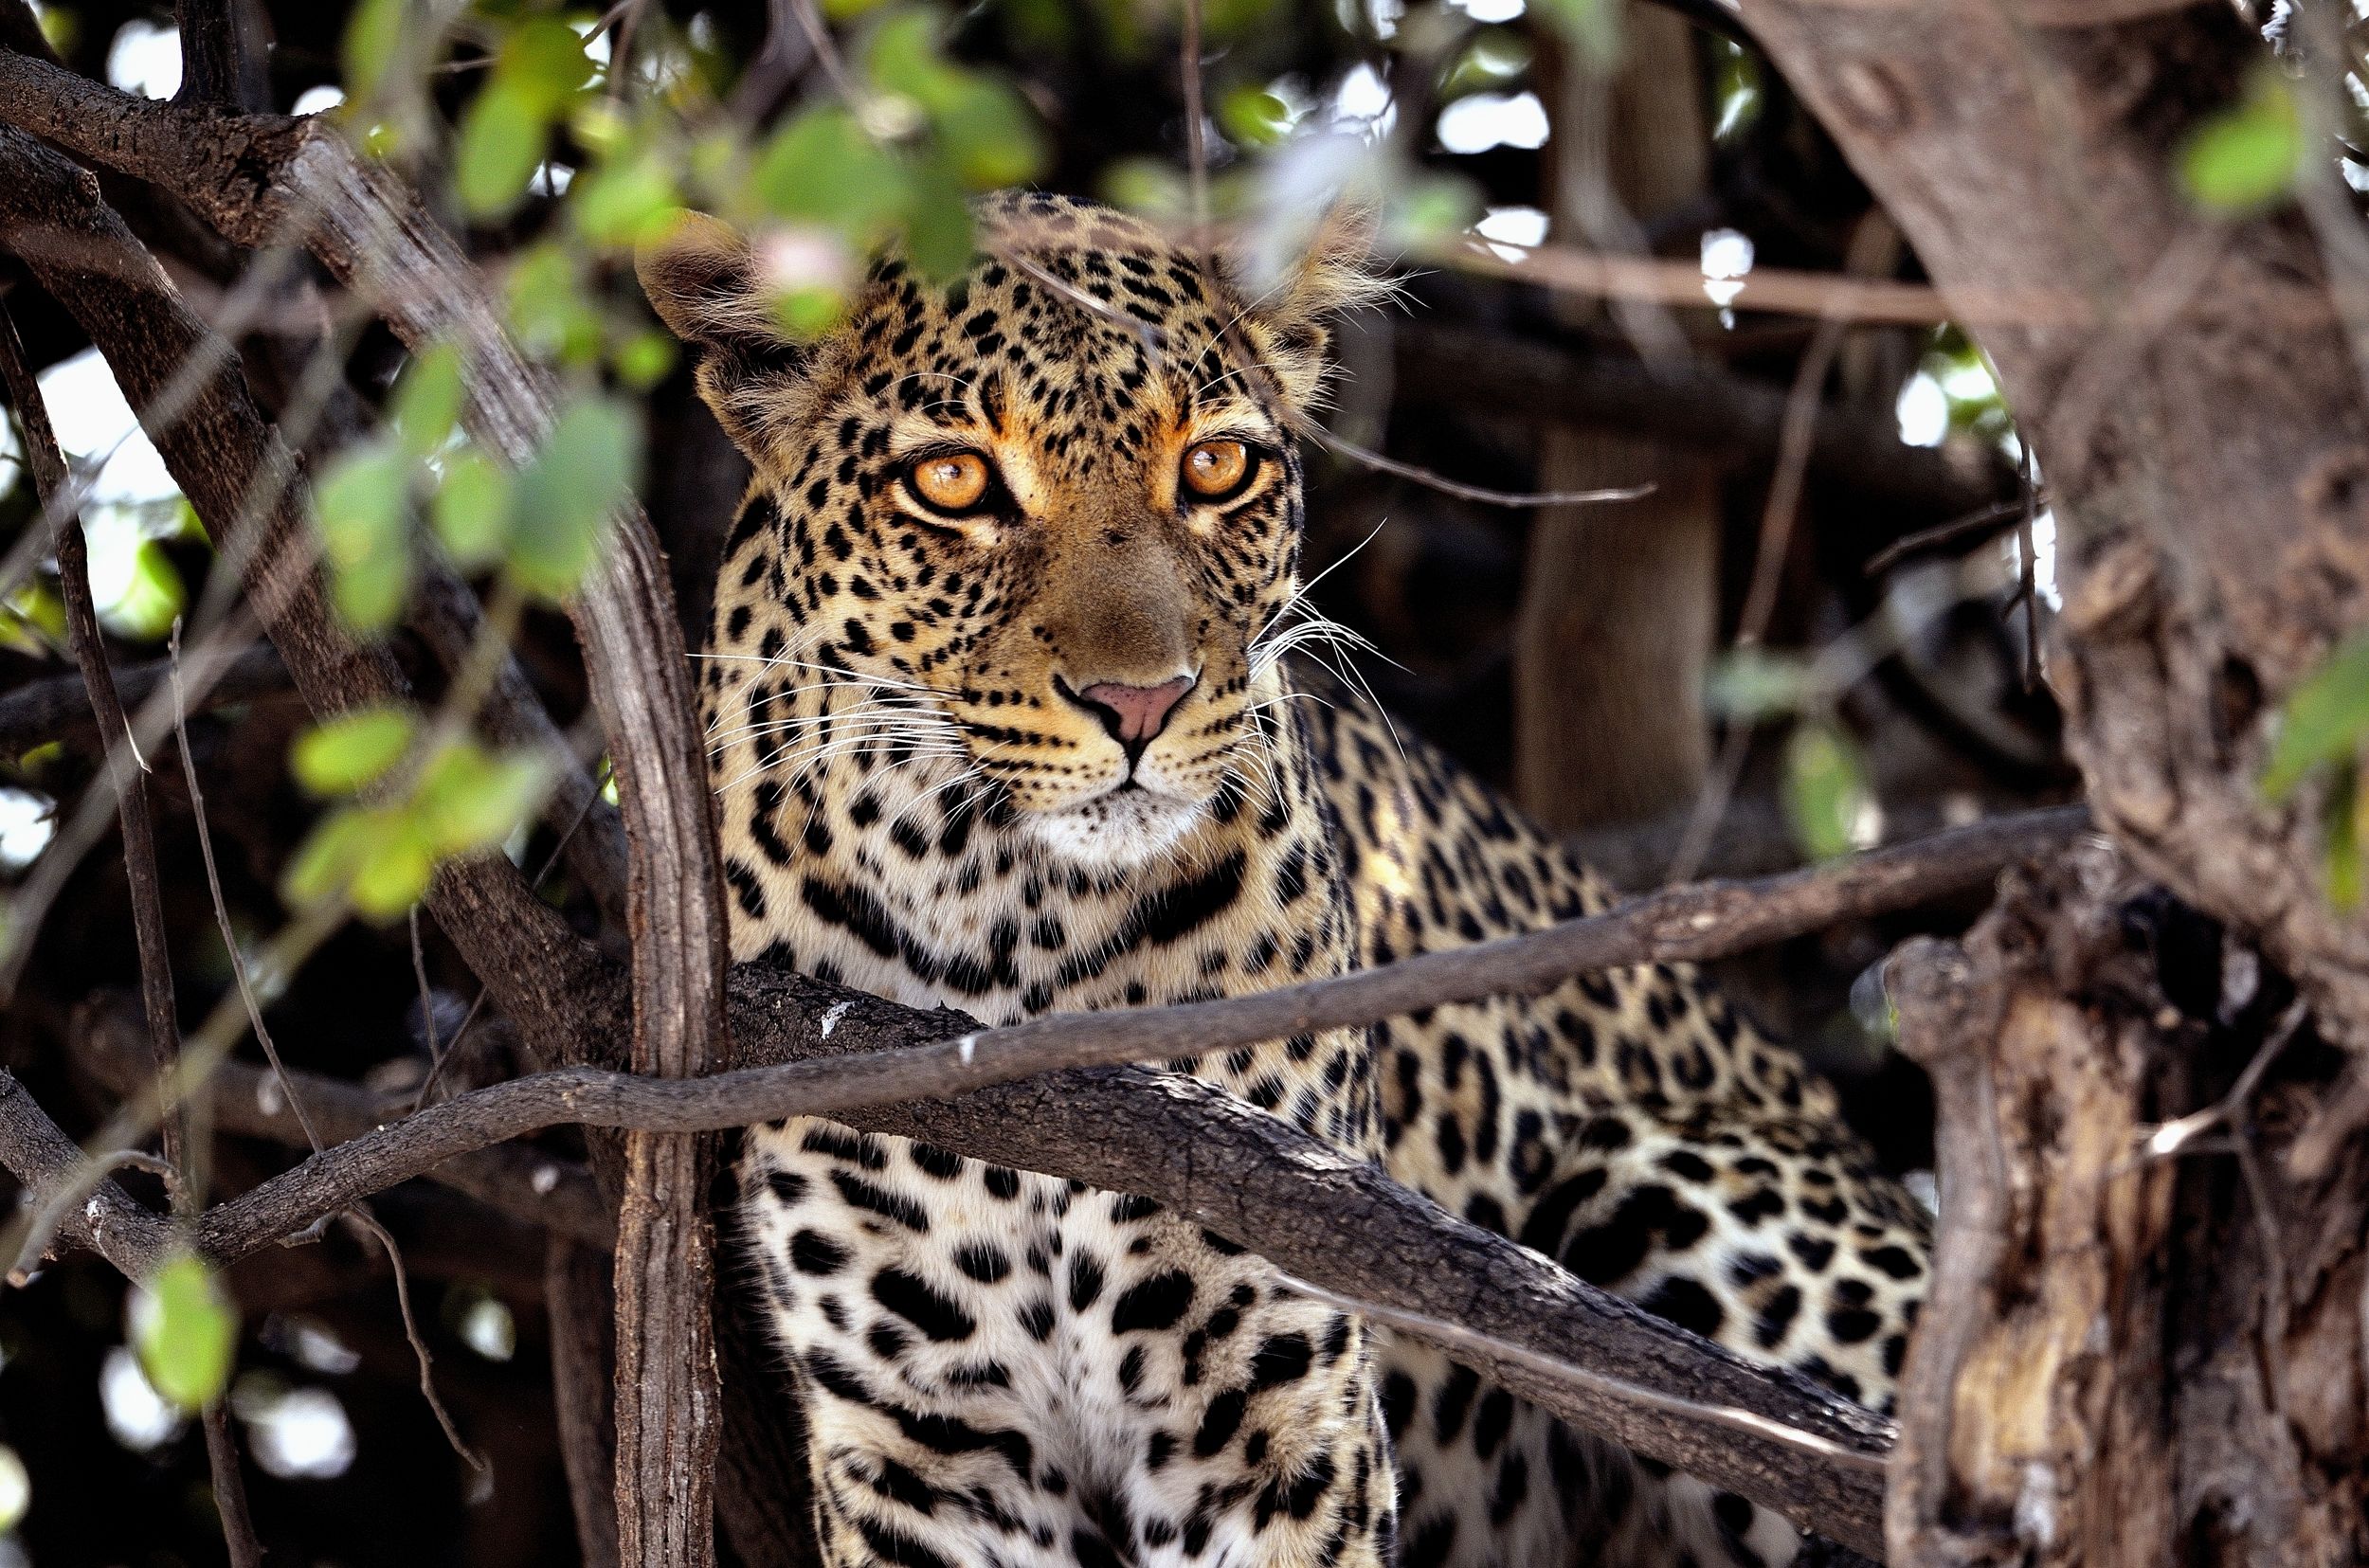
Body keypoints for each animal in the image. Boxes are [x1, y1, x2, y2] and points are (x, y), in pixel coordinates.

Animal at [637, 190, 1931, 1568]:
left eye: (1215, 467)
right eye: (953, 480)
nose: (1140, 702)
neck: (1007, 919)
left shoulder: (1268, 1397)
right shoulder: (925, 1444)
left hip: (1663, 1182)